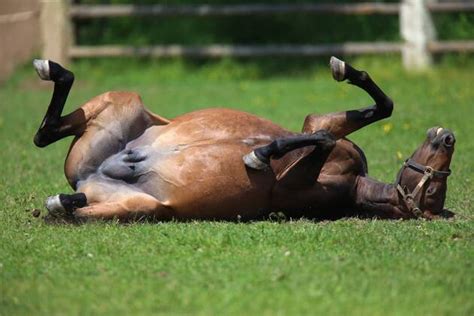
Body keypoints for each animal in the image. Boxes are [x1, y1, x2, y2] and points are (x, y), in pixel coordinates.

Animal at [33, 56, 456, 221]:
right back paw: (50, 68)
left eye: (435, 193)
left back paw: (63, 201)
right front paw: (345, 70)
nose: (449, 136)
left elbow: (319, 138)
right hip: (123, 101)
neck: (355, 182)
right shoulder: (318, 124)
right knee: (44, 134)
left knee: (65, 193)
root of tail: (88, 178)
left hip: (136, 206)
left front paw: (258, 156)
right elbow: (361, 115)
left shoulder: (292, 187)